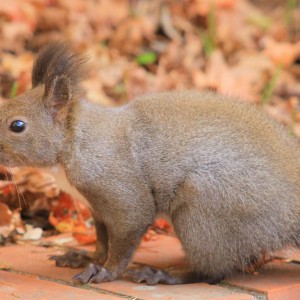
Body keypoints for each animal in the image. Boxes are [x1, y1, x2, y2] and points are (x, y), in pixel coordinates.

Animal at [0, 42, 300, 286]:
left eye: (18, 125)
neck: (74, 142)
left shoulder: (118, 189)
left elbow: (128, 229)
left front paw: (105, 271)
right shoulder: (97, 208)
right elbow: (102, 240)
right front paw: (85, 258)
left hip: (204, 210)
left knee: (212, 271)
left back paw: (165, 275)